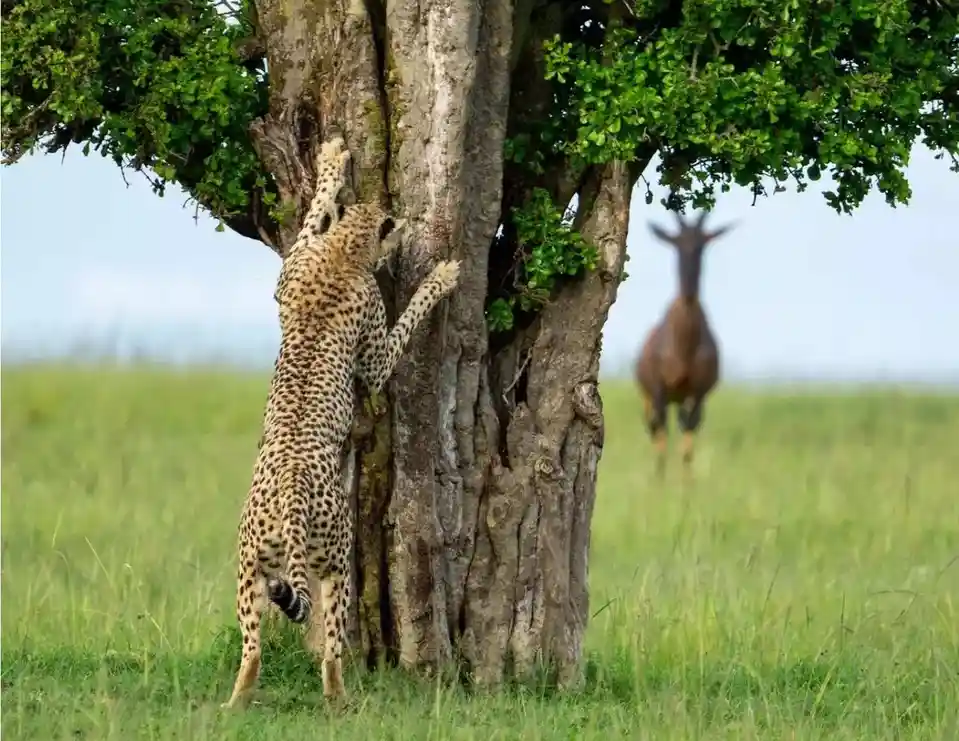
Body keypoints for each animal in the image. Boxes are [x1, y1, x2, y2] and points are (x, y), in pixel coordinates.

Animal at [223, 141, 461, 710]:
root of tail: (289, 496)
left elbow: (312, 215)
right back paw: (340, 701)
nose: (406, 228)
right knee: (331, 647)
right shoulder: (373, 356)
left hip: (249, 570)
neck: (345, 251)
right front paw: (439, 279)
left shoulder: (290, 271)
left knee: (252, 649)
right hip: (335, 563)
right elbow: (403, 326)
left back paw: (235, 702)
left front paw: (331, 163)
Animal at [635, 210, 732, 477]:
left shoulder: (697, 393)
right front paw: (659, 481)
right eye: (675, 242)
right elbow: (661, 435)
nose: (689, 291)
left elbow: (688, 437)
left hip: (682, 398)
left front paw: (686, 484)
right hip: (651, 397)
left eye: (703, 243)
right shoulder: (658, 391)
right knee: (654, 428)